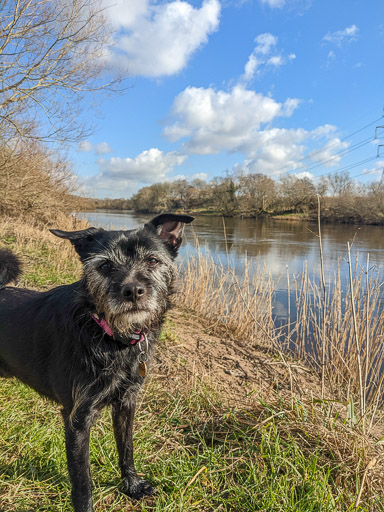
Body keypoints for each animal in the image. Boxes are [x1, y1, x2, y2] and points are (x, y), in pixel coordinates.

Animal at [0, 214, 192, 512]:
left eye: (152, 260)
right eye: (104, 265)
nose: (133, 291)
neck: (110, 338)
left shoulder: (126, 402)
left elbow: (126, 448)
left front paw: (132, 485)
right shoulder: (78, 419)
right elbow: (82, 481)